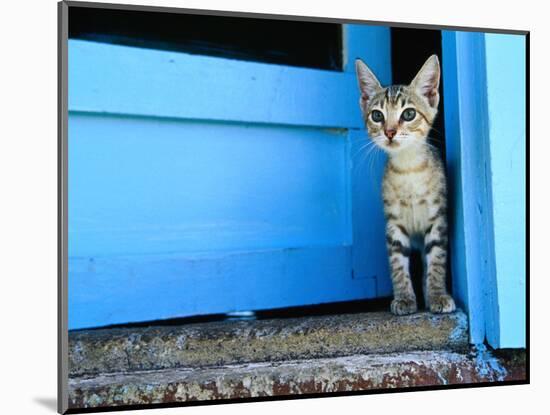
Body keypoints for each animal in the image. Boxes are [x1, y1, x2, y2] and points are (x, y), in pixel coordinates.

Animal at [358, 54, 458, 316]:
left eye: (409, 114)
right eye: (377, 116)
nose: (390, 132)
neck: (408, 169)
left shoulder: (437, 220)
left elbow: (436, 260)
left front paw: (437, 294)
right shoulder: (394, 224)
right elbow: (397, 264)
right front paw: (404, 298)